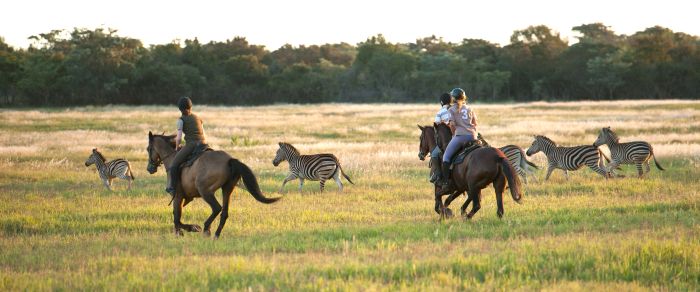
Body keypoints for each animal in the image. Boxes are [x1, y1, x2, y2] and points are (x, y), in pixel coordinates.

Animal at [146, 132, 280, 237]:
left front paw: (190, 229)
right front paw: (180, 232)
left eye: (148, 149)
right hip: (227, 189)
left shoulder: (177, 196)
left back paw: (206, 228)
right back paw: (216, 234)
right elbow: (176, 217)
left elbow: (176, 217)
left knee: (216, 208)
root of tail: (229, 160)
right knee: (224, 212)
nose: (149, 169)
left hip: (205, 191)